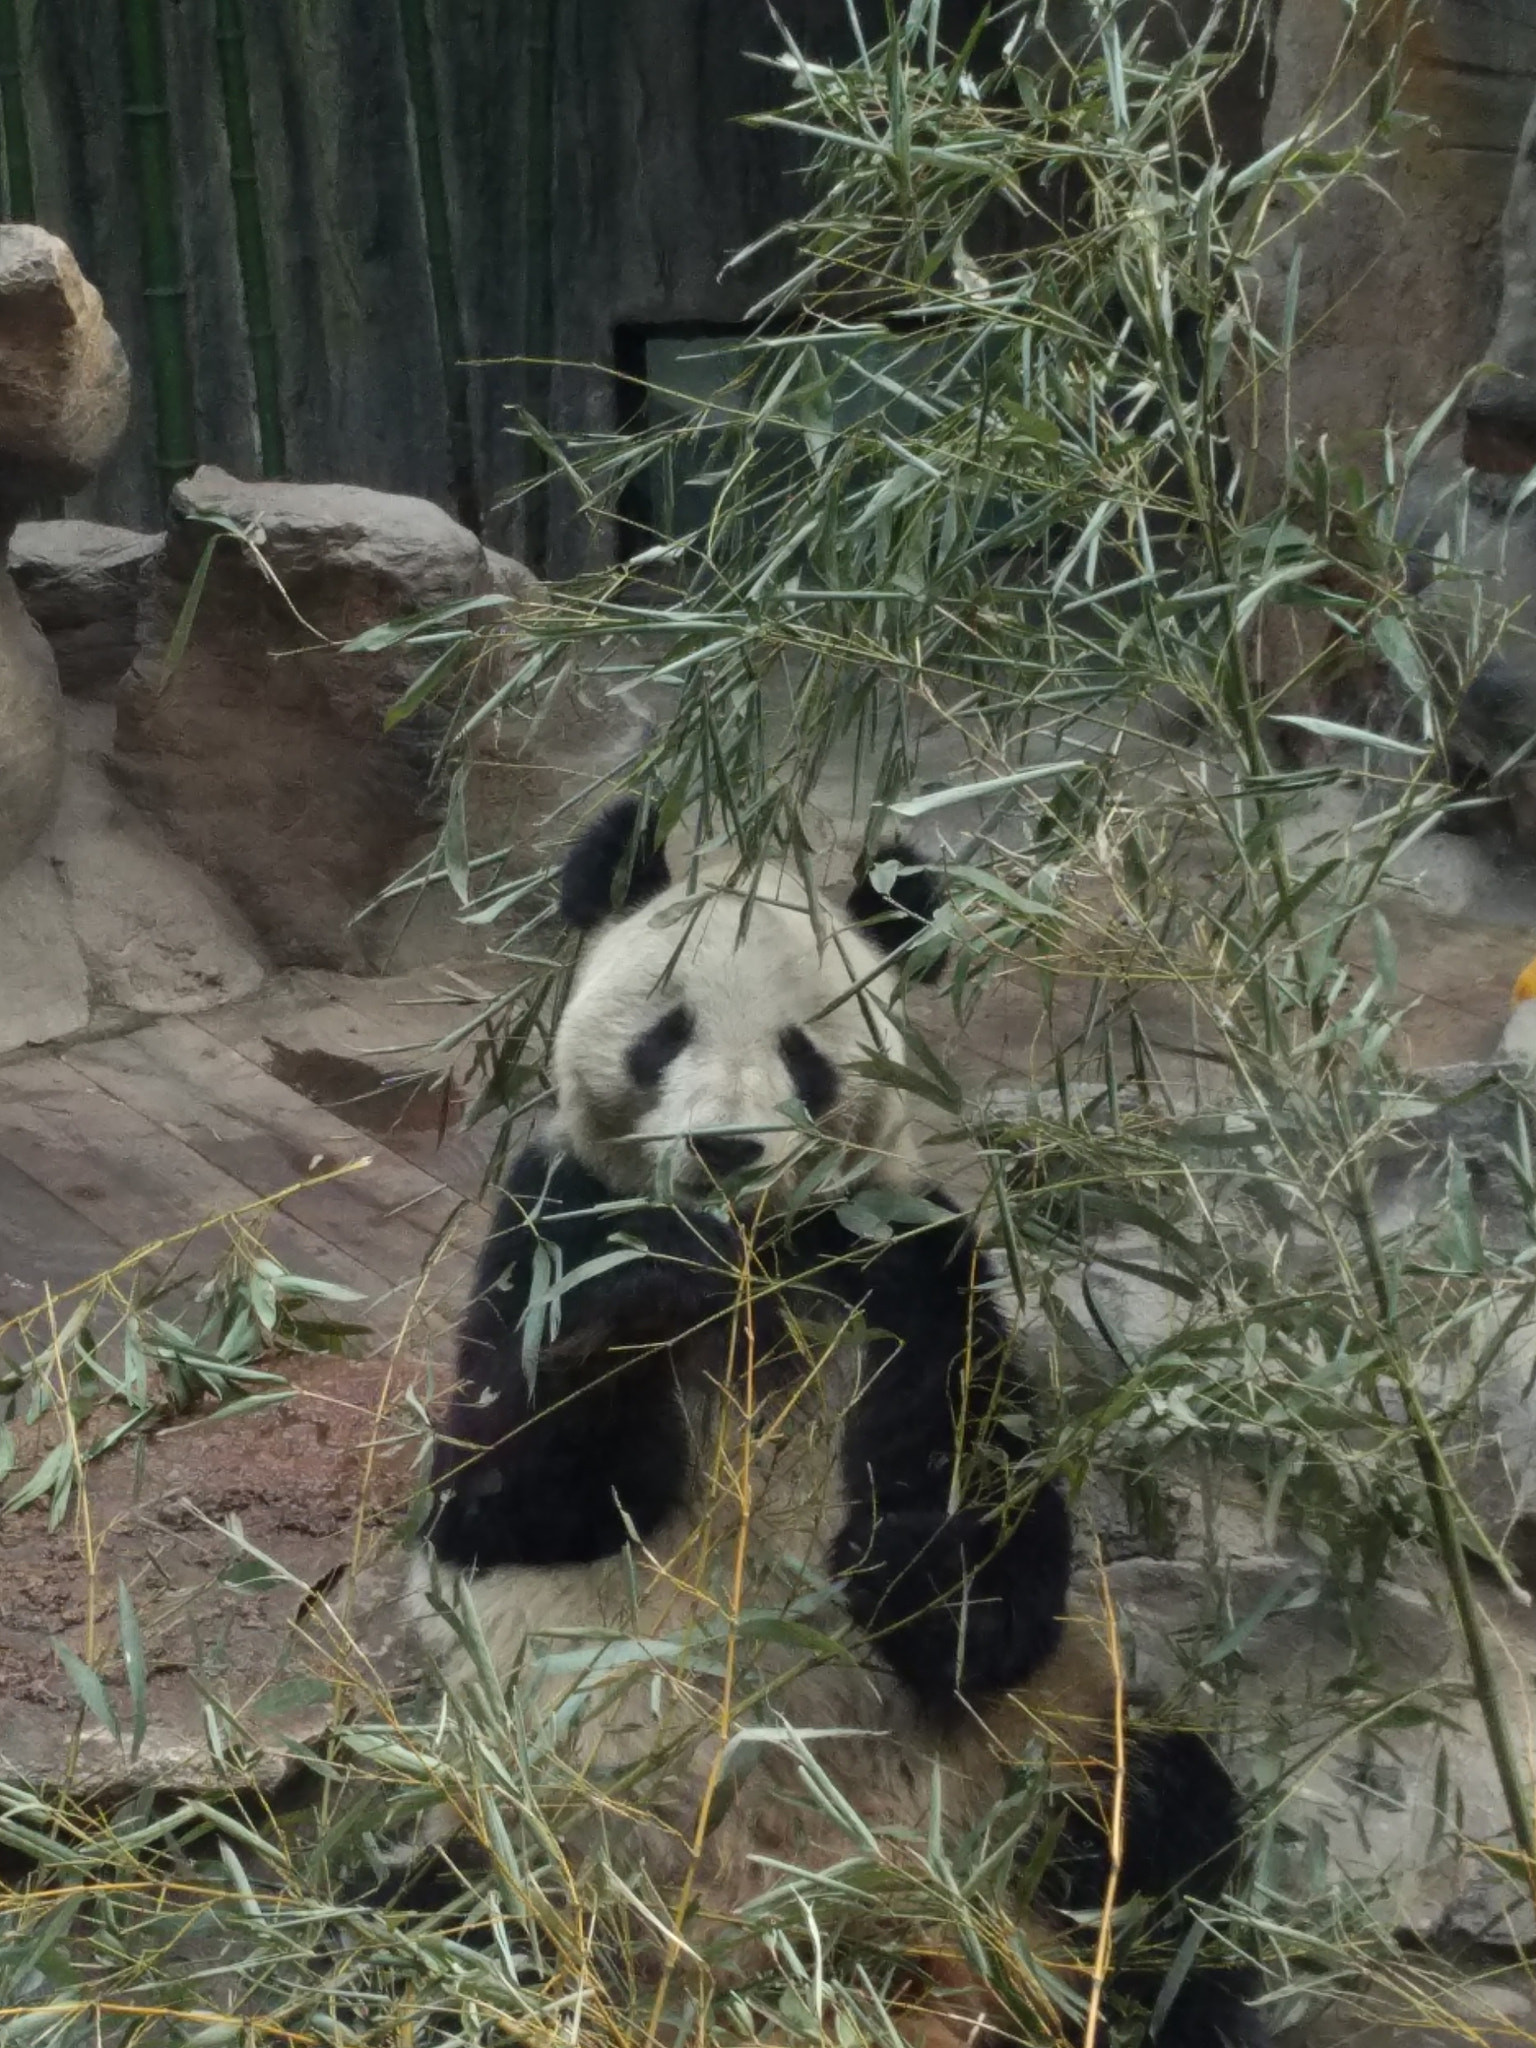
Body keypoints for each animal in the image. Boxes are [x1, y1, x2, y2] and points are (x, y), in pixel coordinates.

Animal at [406, 795, 1266, 2048]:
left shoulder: (914, 1256)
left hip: (1031, 1777)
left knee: (1156, 1846)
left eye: (804, 1054)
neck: (754, 1263)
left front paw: (912, 1552)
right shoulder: (548, 1217)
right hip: (526, 1822)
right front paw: (648, 1292)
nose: (726, 1149)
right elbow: (500, 1492)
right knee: (423, 1919)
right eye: (663, 1032)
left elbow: (991, 1578)